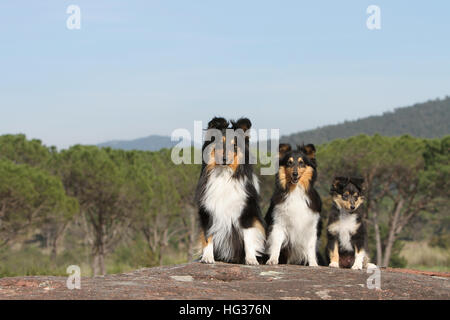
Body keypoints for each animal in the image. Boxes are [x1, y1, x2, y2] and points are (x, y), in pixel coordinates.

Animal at [195, 117, 266, 264]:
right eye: (219, 143)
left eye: (234, 146)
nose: (224, 159)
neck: (224, 173)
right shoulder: (208, 211)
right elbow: (208, 235)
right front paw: (207, 257)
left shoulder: (246, 212)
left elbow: (248, 237)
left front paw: (251, 260)